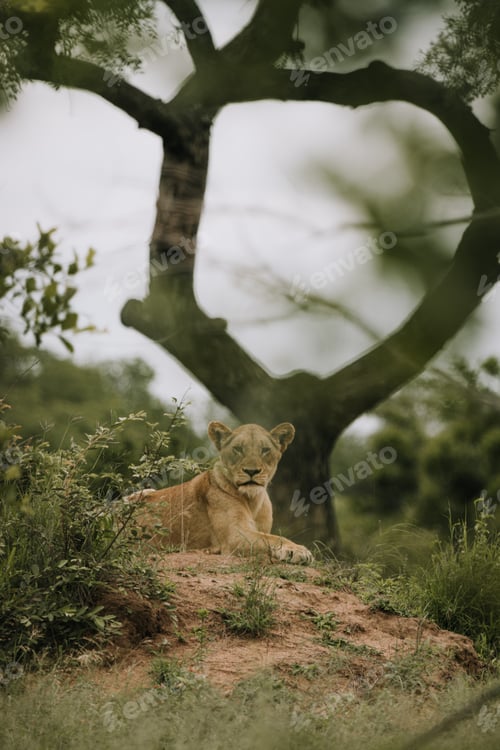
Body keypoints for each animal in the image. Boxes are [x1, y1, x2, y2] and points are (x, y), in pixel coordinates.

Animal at [127, 421, 313, 565]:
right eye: (238, 449)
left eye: (265, 450)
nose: (251, 471)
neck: (253, 500)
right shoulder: (235, 536)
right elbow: (273, 538)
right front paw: (298, 550)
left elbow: (269, 536)